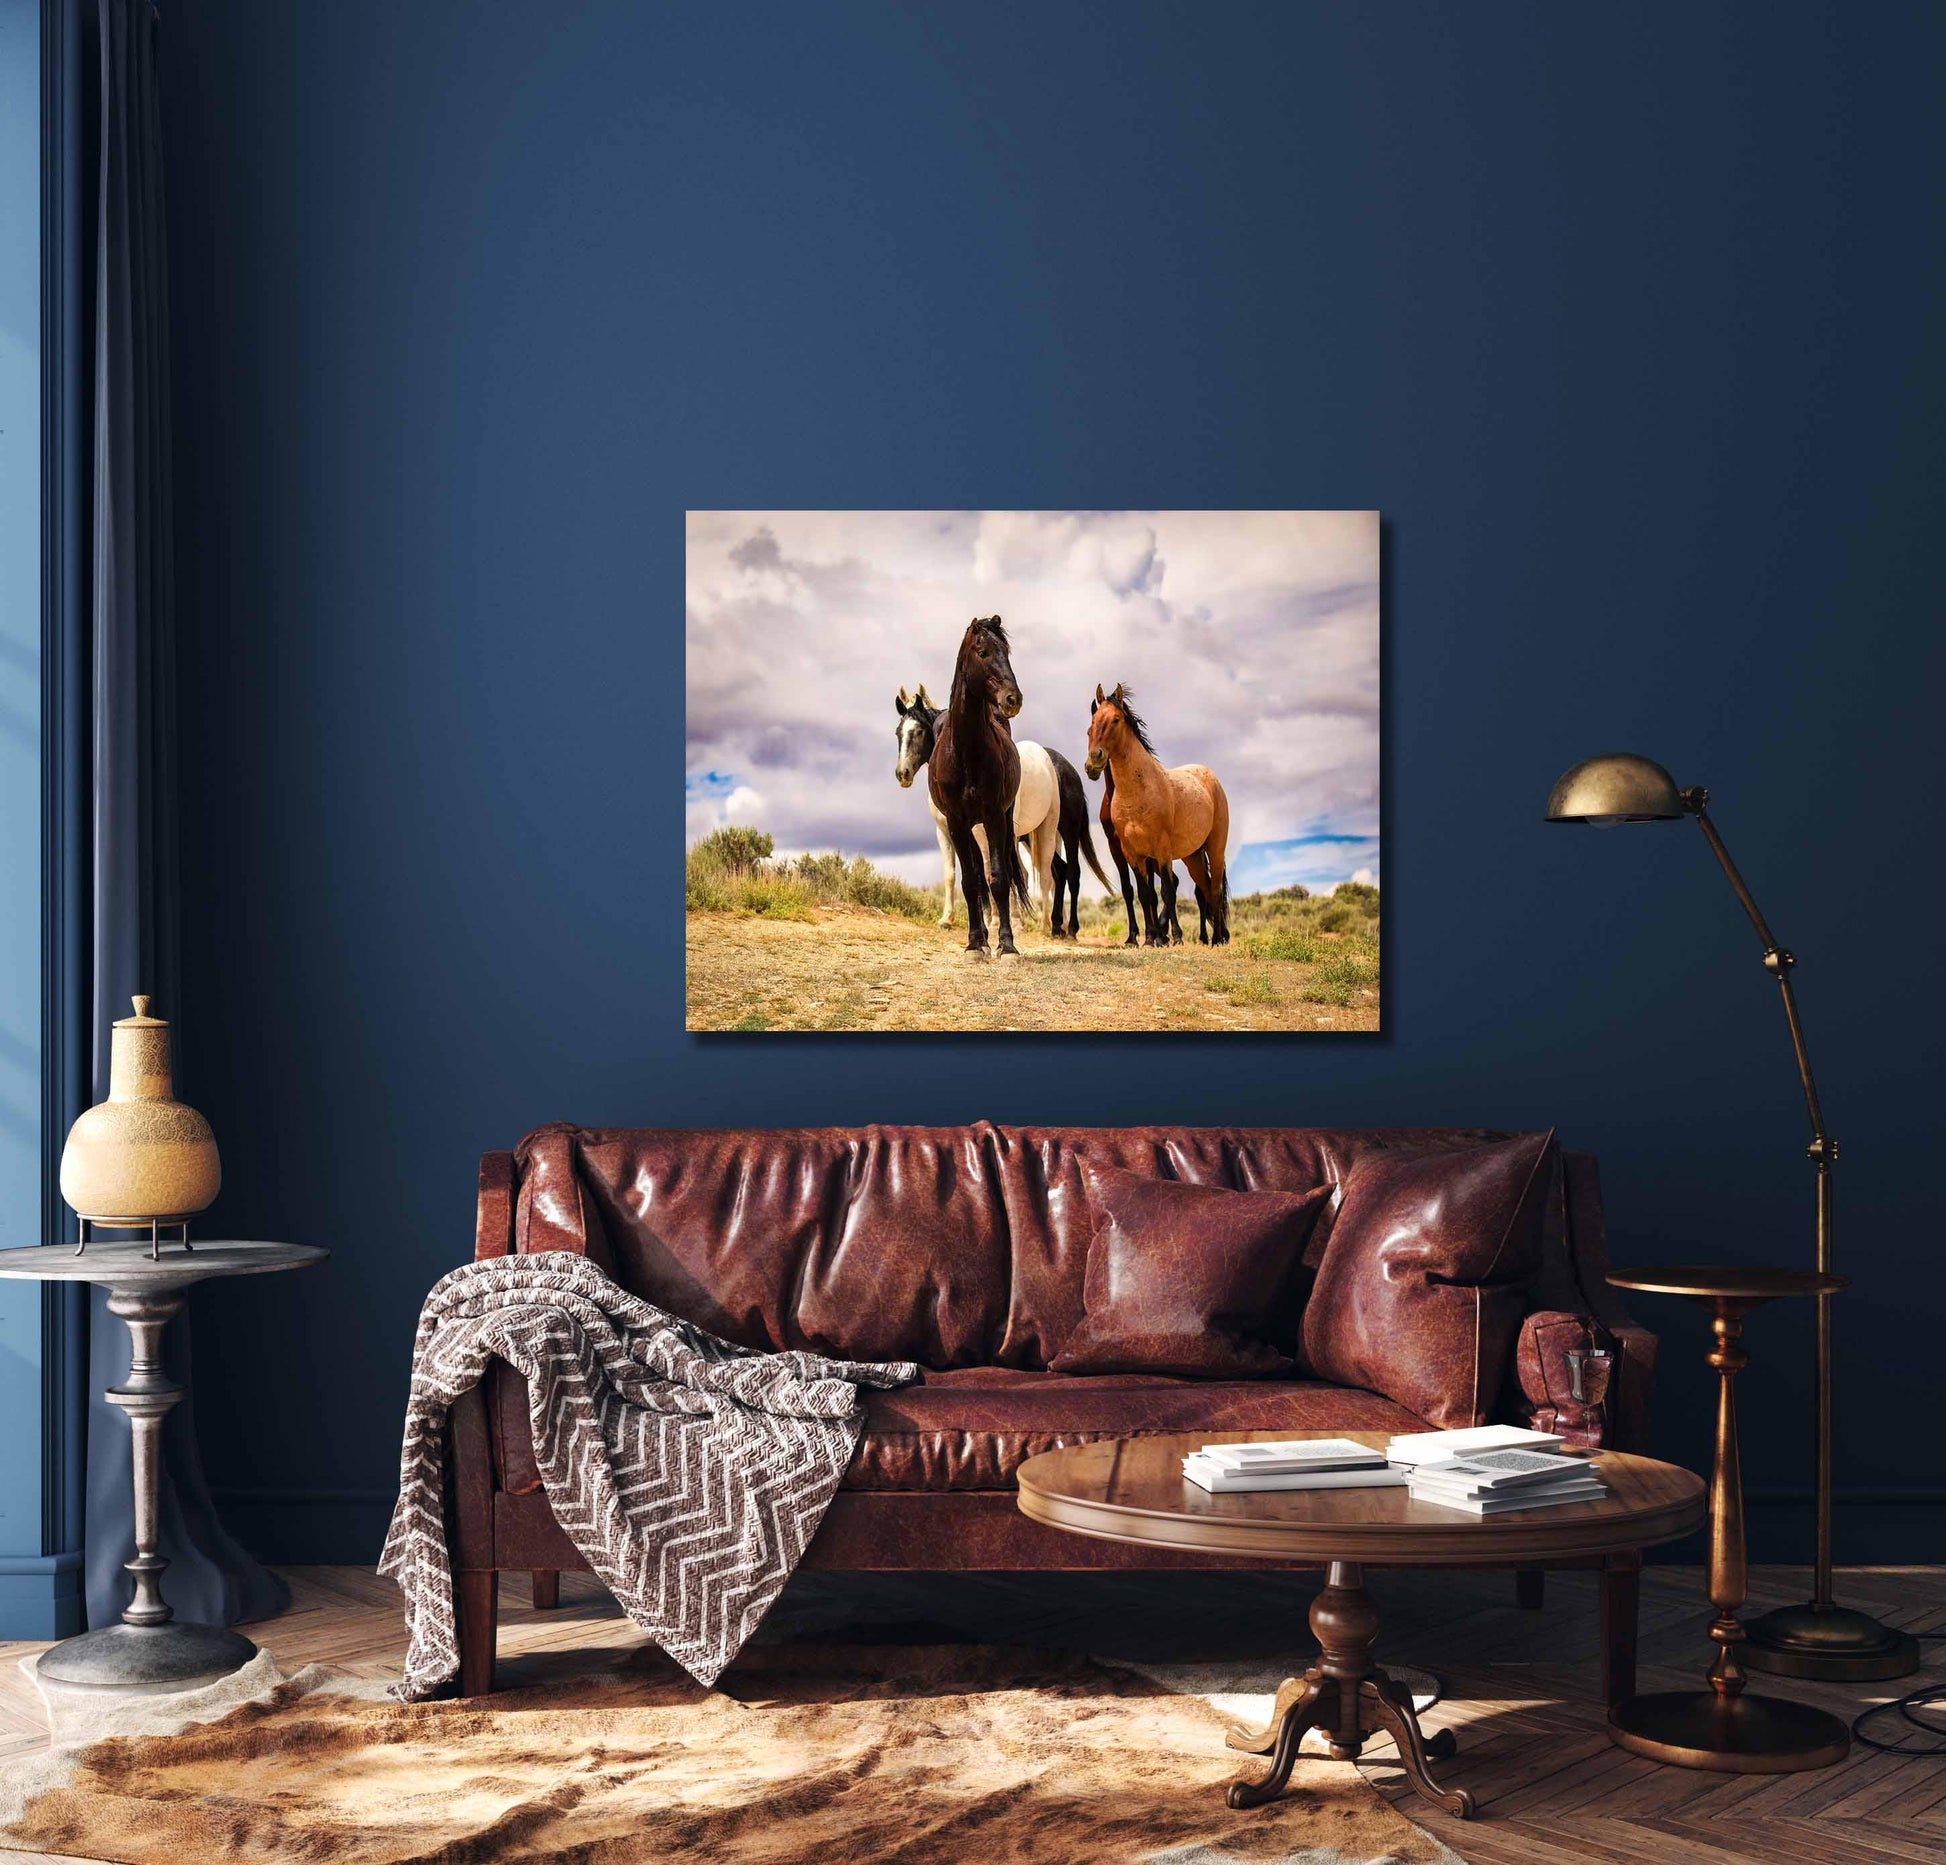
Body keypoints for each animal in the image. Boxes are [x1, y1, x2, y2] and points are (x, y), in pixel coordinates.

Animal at [899, 689, 1066, 934]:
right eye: (898, 732)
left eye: (919, 731)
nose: (902, 773)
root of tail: (1043, 755)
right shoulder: (947, 830)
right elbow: (958, 874)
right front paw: (950, 919)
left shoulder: (983, 829)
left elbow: (990, 872)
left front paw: (997, 923)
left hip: (1046, 828)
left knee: (1045, 874)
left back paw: (1045, 925)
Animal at [1089, 685, 1222, 950]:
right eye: (1093, 722)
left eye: (1116, 720)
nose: (1094, 761)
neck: (1136, 791)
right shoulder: (1130, 850)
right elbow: (1141, 892)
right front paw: (1148, 938)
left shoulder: (1160, 849)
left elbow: (1166, 892)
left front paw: (1174, 936)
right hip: (1193, 855)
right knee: (1203, 889)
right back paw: (1208, 937)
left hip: (1215, 847)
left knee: (1214, 887)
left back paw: (1218, 938)